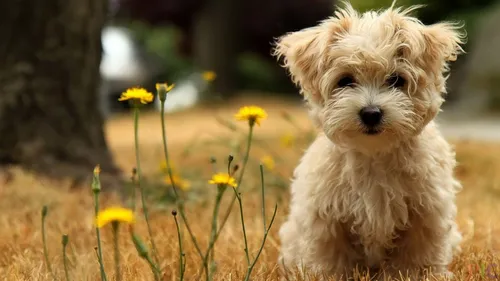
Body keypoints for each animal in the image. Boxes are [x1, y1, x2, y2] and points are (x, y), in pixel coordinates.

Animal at [274, 2, 464, 280]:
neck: (375, 154)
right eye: (345, 80)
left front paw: (416, 274)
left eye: (396, 80)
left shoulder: (426, 212)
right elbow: (331, 256)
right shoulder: (325, 216)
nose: (371, 113)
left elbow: (416, 255)